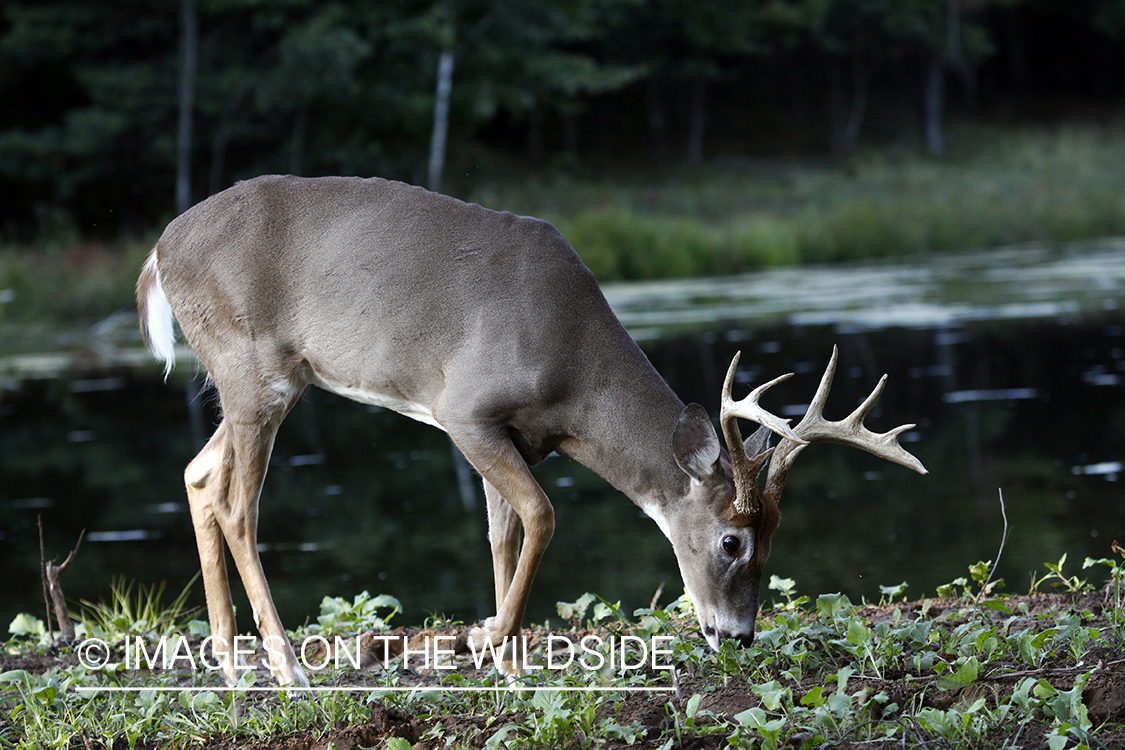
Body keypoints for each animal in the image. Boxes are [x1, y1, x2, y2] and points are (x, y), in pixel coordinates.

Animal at [136, 176, 927, 688]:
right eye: (732, 540)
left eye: (775, 534)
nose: (737, 635)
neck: (572, 372)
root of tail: (157, 253)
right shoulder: (463, 409)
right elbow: (542, 516)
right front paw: (489, 641)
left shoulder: (516, 437)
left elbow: (503, 531)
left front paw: (512, 661)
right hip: (253, 367)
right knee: (239, 502)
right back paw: (288, 670)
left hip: (265, 378)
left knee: (198, 474)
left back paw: (230, 665)